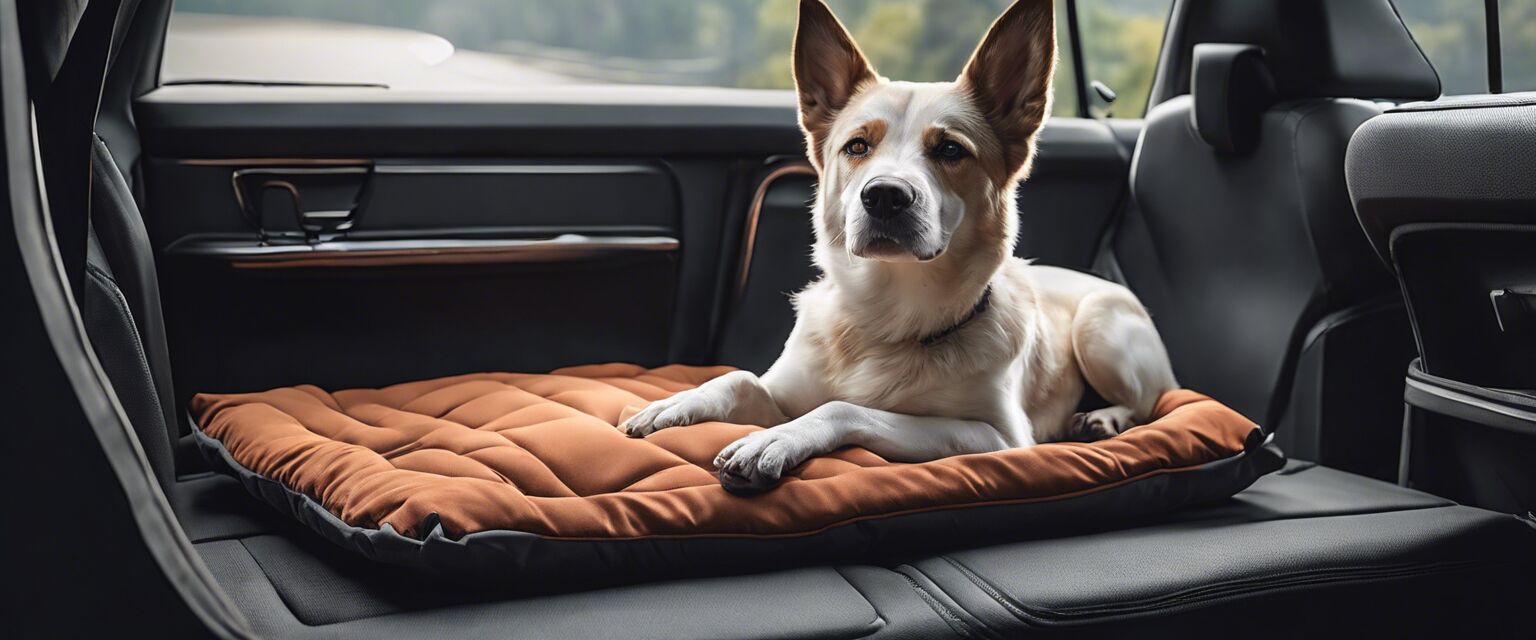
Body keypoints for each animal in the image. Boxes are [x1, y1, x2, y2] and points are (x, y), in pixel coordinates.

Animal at [617, 0, 1167, 494]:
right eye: (857, 146)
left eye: (950, 149)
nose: (884, 195)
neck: (884, 319)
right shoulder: (781, 393)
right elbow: (739, 380)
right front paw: (676, 403)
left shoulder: (997, 437)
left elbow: (844, 406)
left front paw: (773, 441)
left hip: (1098, 328)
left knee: (1151, 398)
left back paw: (1105, 416)